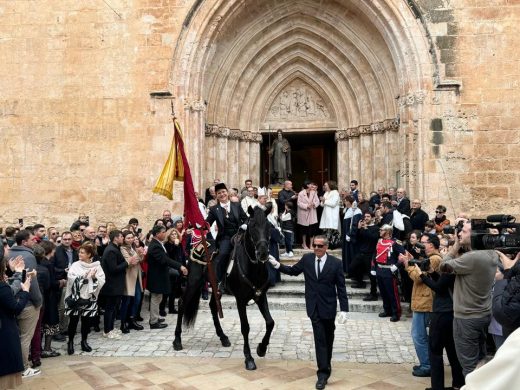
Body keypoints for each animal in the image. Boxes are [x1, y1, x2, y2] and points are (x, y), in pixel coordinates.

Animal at [228, 203, 276, 370]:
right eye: (253, 225)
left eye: (269, 226)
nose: (263, 253)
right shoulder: (240, 300)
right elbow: (245, 327)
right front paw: (248, 358)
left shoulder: (261, 295)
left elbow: (270, 322)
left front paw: (261, 348)